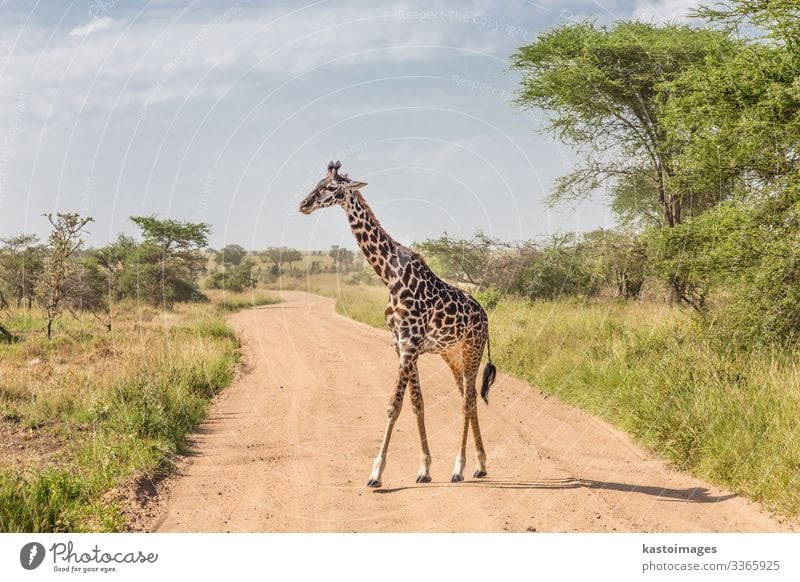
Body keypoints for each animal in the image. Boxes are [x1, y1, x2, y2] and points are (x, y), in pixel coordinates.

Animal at [296, 160, 494, 488]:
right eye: (317, 183)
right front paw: (424, 469)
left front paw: (376, 473)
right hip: (451, 354)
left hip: (471, 351)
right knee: (469, 399)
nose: (304, 204)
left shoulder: (410, 343)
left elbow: (393, 405)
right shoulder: (400, 344)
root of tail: (485, 317)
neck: (390, 278)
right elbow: (416, 403)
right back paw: (479, 465)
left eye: (333, 187)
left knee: (467, 401)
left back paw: (459, 467)